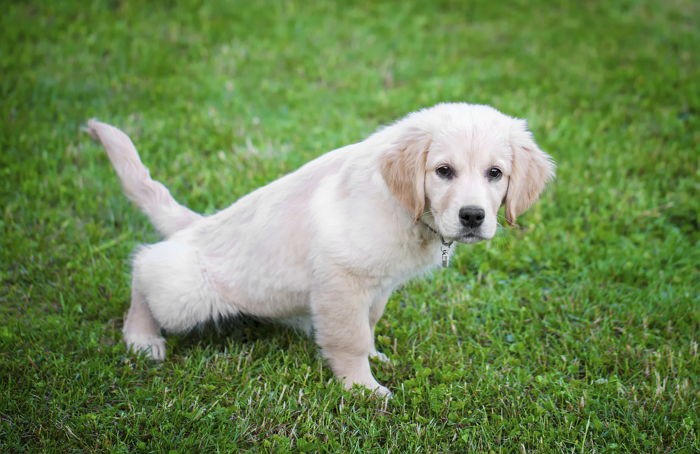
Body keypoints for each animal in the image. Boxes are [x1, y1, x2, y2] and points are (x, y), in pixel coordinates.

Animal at [87, 103, 556, 398]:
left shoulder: (377, 285)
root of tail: (195, 225)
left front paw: (375, 357)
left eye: (495, 173)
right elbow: (349, 336)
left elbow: (368, 323)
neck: (405, 207)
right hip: (187, 293)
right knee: (145, 267)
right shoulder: (341, 277)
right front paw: (363, 388)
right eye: (443, 171)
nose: (473, 216)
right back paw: (142, 338)